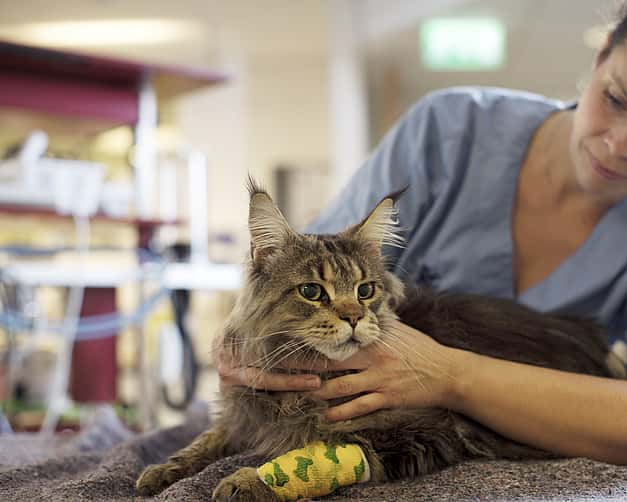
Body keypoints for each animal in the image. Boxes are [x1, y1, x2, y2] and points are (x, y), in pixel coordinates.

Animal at [137, 178, 627, 500]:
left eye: (365, 290)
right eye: (311, 291)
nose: (354, 318)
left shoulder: (422, 431)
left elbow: (322, 451)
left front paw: (248, 481)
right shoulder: (244, 411)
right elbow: (204, 442)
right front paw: (159, 472)